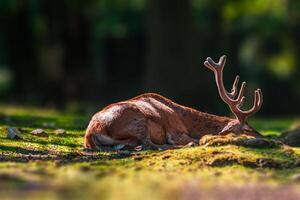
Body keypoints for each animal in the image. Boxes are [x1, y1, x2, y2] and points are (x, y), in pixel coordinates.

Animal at [84, 54, 262, 150]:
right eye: (248, 129)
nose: (264, 139)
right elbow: (191, 139)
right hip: (137, 120)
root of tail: (91, 132)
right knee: (147, 144)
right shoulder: (176, 131)